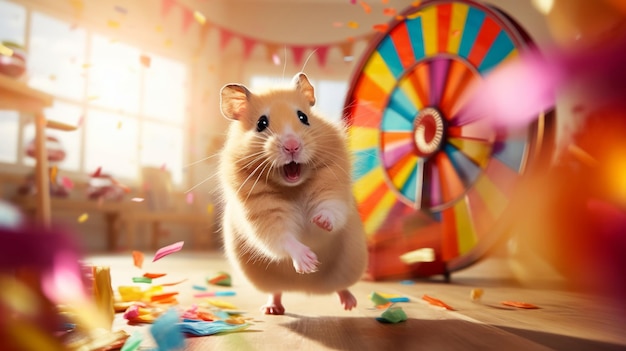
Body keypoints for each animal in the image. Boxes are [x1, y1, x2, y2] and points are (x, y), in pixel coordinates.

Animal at [218, 73, 368, 314]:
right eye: (261, 123)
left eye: (303, 117)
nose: (292, 146)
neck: (294, 187)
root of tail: (305, 290)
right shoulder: (263, 218)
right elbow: (282, 238)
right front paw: (308, 262)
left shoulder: (334, 191)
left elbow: (331, 209)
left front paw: (320, 221)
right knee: (276, 291)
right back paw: (272, 308)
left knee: (341, 287)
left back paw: (349, 304)